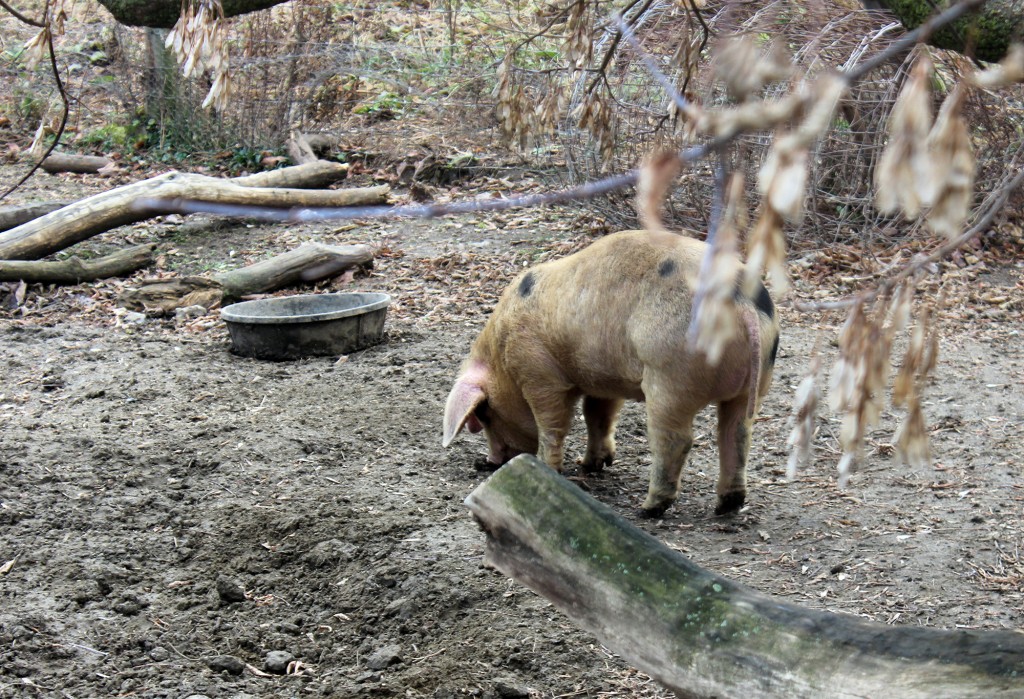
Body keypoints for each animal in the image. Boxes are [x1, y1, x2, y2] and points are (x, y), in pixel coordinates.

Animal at [440, 227, 774, 515]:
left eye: (485, 414)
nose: (489, 461)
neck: (501, 357)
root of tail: (740, 301)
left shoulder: (539, 374)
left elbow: (552, 424)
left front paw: (547, 467)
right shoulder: (602, 380)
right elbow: (597, 416)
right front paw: (591, 464)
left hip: (669, 380)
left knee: (675, 440)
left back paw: (648, 509)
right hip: (754, 385)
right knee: (737, 433)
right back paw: (726, 506)